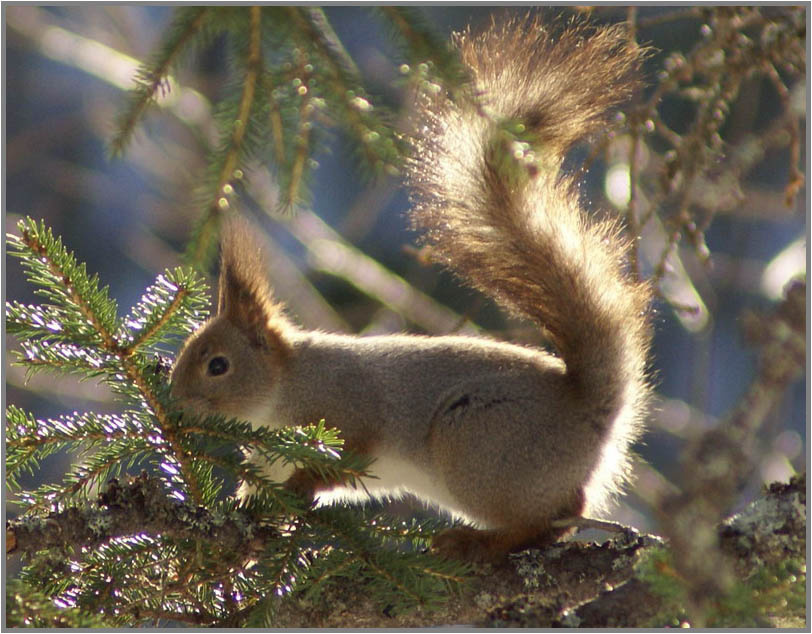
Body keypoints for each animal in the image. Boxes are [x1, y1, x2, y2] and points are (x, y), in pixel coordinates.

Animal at [170, 16, 653, 563]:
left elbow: (344, 462)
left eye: (218, 365)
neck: (286, 384)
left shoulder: (353, 412)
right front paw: (246, 527)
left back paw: (471, 542)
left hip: (479, 448)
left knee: (554, 520)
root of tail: (593, 410)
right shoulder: (269, 459)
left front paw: (301, 487)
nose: (174, 402)